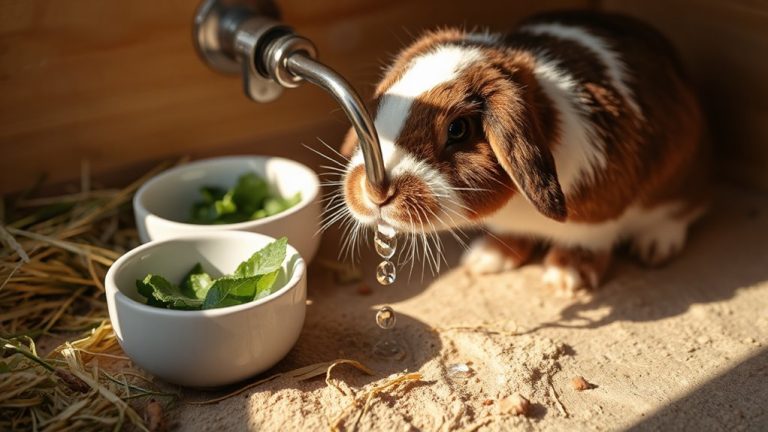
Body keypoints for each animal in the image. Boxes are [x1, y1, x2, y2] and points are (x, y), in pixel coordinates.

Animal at [338, 10, 710, 292]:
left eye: (458, 130)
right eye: (382, 103)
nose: (375, 192)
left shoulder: (600, 211)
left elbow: (589, 238)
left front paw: (566, 277)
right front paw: (485, 259)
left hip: (681, 176)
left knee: (686, 206)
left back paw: (655, 248)